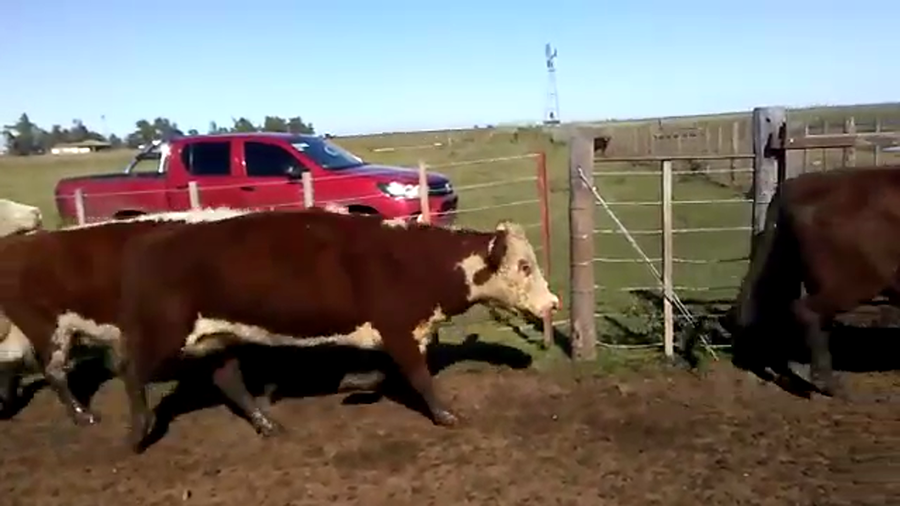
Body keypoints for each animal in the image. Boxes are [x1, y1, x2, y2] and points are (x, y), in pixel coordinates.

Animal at [116, 209, 559, 452]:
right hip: (165, 333)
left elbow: (387, 372)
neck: (415, 260)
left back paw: (268, 425)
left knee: (228, 379)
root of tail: (156, 240)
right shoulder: (397, 329)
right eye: (524, 265)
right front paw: (446, 415)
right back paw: (137, 433)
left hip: (218, 337)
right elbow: (419, 376)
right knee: (132, 371)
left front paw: (356, 383)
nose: (552, 304)